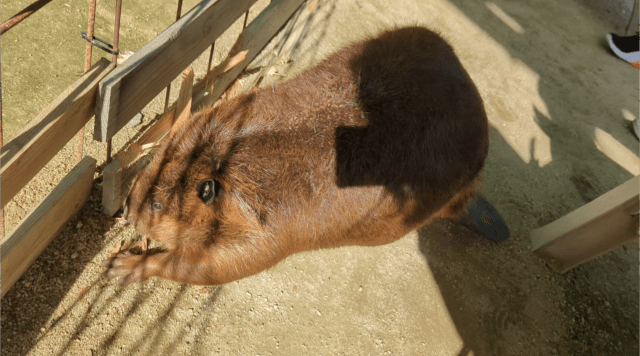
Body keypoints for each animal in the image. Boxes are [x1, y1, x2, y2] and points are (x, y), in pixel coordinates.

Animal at [105, 25, 488, 286]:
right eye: (146, 170)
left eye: (157, 205)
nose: (126, 210)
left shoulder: (272, 229)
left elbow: (214, 266)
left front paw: (122, 265)